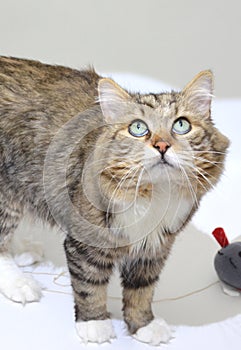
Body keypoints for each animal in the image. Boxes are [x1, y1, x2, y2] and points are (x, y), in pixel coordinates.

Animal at [0, 56, 230, 344]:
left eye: (181, 125)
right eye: (138, 128)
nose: (162, 146)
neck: (153, 194)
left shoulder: (154, 247)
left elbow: (141, 291)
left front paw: (144, 325)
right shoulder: (85, 244)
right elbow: (90, 286)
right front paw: (95, 324)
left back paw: (23, 250)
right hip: (4, 194)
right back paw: (19, 283)